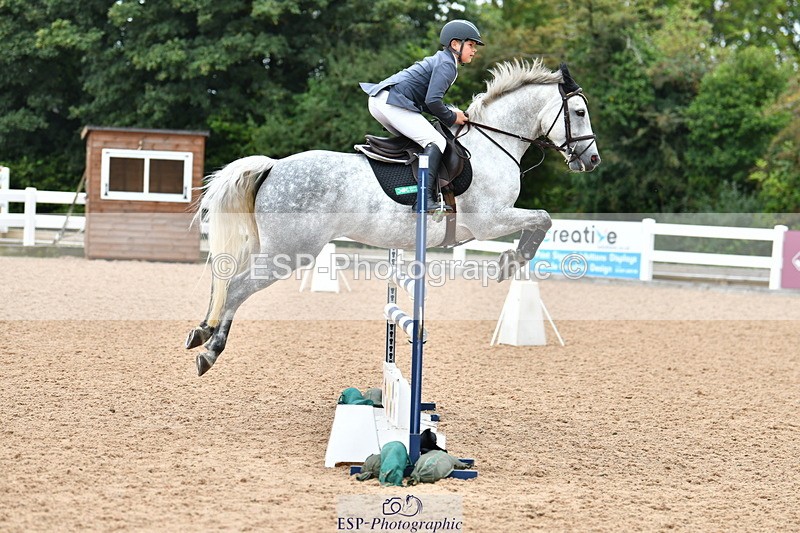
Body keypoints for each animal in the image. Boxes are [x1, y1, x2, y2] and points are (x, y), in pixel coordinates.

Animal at [186, 58, 601, 376]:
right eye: (579, 112)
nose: (592, 160)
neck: (493, 146)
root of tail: (273, 166)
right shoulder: (491, 220)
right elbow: (543, 218)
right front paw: (511, 261)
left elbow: (541, 220)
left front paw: (511, 261)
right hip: (288, 252)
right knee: (238, 286)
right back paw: (211, 350)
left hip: (267, 245)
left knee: (223, 280)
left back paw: (201, 331)